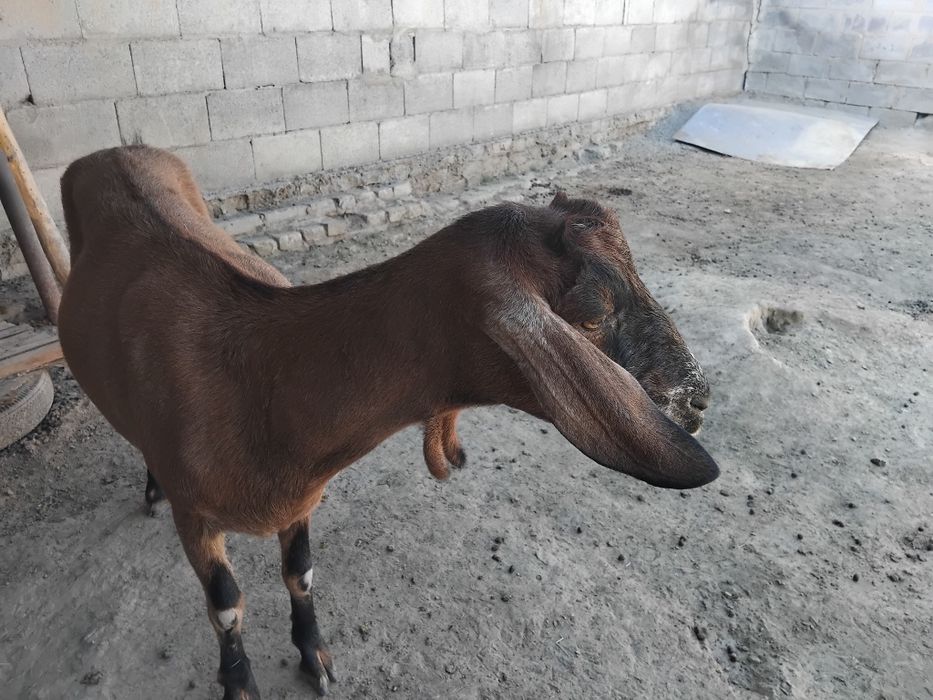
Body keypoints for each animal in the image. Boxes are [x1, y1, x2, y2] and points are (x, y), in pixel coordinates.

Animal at [58, 145, 719, 699]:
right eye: (591, 316)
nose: (698, 399)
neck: (255, 382)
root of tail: (116, 148)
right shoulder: (195, 516)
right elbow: (226, 606)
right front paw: (240, 684)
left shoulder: (301, 500)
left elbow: (300, 573)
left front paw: (315, 657)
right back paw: (150, 487)